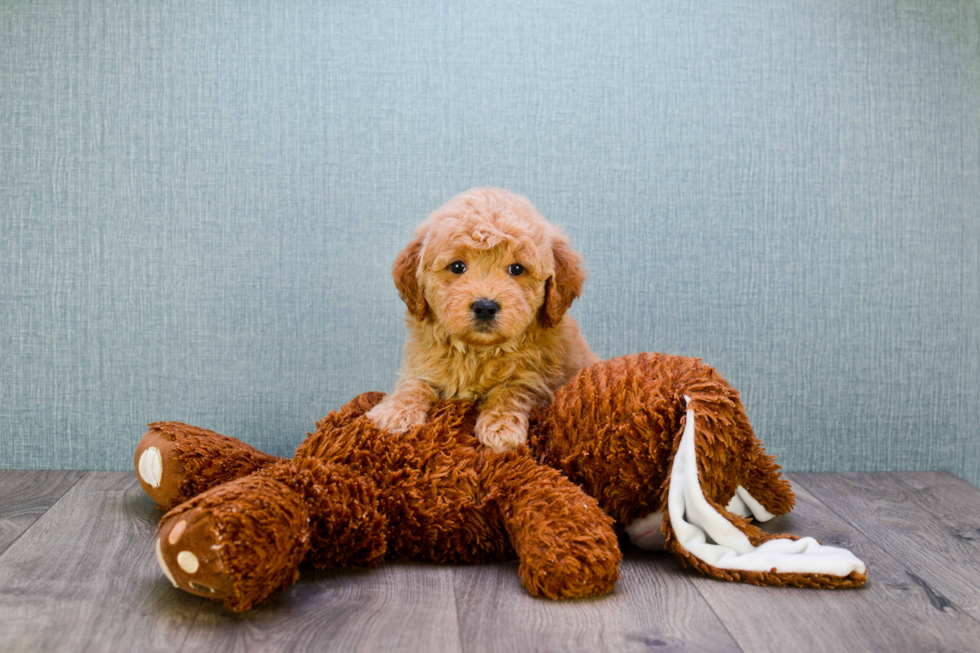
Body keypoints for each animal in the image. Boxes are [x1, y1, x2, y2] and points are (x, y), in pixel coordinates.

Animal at [366, 188, 596, 450]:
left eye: (517, 269)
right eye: (457, 266)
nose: (485, 307)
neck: (478, 352)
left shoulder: (540, 382)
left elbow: (512, 392)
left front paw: (501, 427)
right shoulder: (419, 365)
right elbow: (414, 384)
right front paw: (395, 411)